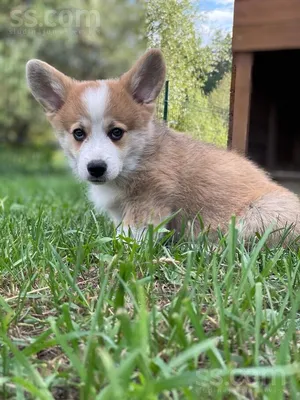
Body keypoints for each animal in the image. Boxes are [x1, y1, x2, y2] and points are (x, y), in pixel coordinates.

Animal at [26, 50, 300, 244]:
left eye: (116, 133)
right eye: (78, 134)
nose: (96, 168)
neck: (136, 160)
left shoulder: (149, 202)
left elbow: (128, 238)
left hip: (259, 213)